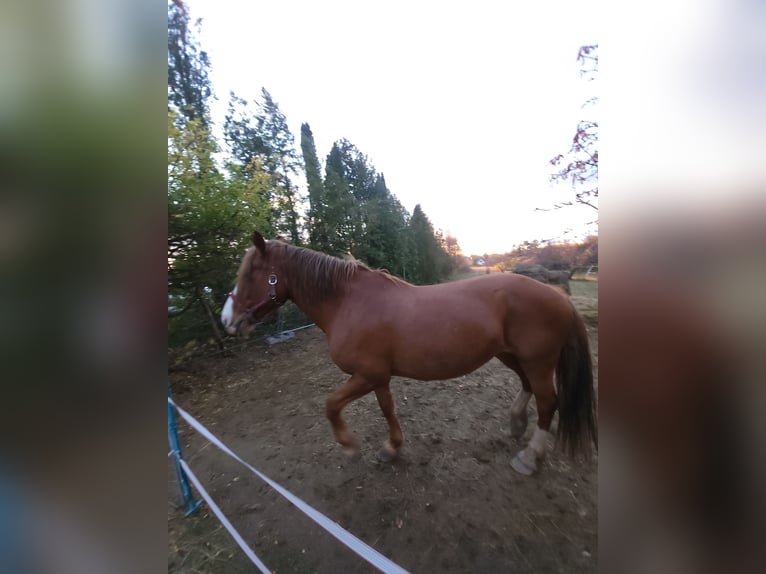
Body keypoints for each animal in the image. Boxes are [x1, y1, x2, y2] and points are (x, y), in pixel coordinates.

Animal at [221, 231, 597, 475]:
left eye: (251, 273)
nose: (227, 320)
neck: (348, 303)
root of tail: (559, 297)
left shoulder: (366, 376)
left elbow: (330, 405)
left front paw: (349, 445)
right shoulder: (378, 377)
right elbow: (388, 410)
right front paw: (391, 448)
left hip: (537, 361)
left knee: (548, 402)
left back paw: (530, 457)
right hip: (511, 355)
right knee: (528, 387)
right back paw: (517, 425)